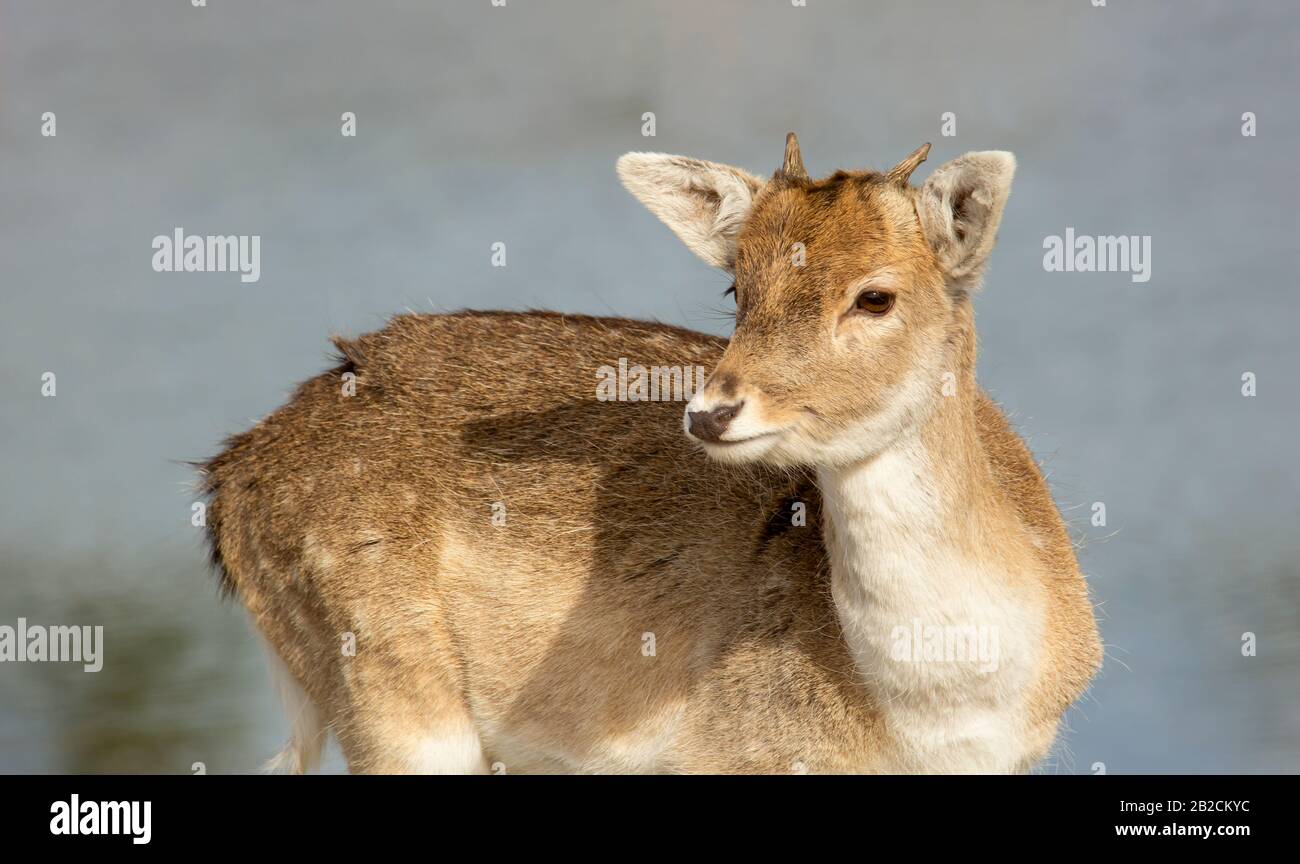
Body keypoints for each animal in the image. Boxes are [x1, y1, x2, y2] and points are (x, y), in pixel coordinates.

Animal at [201, 133, 1102, 774]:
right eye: (738, 286)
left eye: (875, 296)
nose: (713, 412)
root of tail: (228, 480)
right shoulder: (726, 757)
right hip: (393, 703)